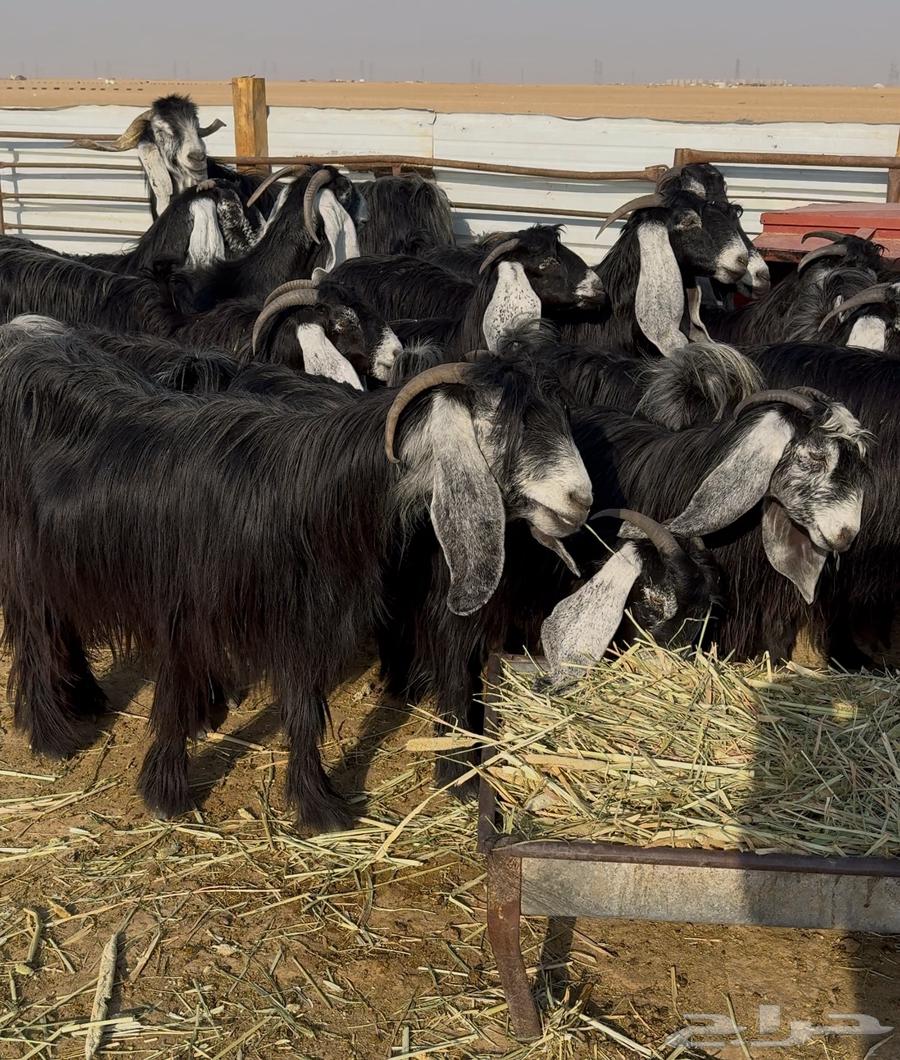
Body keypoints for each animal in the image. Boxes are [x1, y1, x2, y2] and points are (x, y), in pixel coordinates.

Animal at [0, 344, 590, 830]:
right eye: (502, 427)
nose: (580, 499)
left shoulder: (319, 616)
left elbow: (368, 692)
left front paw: (446, 776)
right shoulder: (187, 606)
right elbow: (176, 693)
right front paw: (168, 794)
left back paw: (94, 699)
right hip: (25, 560)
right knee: (34, 633)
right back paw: (51, 734)